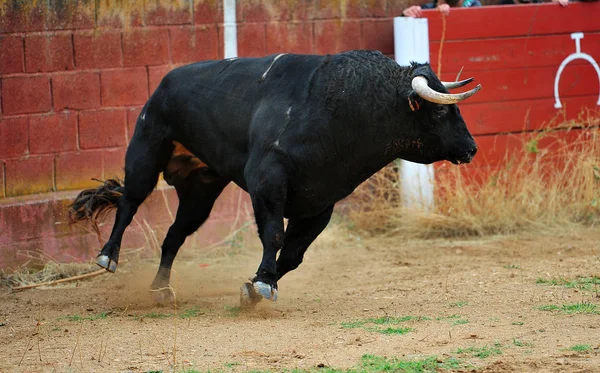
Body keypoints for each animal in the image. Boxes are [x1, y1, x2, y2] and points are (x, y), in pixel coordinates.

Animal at [68, 49, 480, 306]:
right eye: (440, 113)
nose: (472, 148)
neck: (344, 107)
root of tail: (164, 82)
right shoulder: (267, 180)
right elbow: (274, 235)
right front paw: (264, 282)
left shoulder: (320, 203)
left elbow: (294, 254)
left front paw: (252, 288)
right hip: (146, 149)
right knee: (130, 202)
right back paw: (108, 257)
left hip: (201, 188)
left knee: (173, 235)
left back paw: (160, 290)